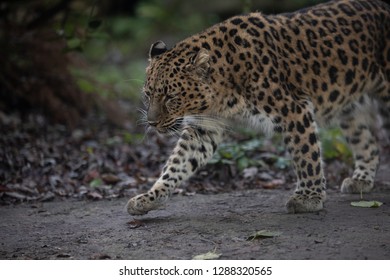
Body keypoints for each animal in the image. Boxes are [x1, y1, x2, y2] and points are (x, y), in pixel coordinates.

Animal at [126, 0, 388, 215]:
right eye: (148, 95)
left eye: (171, 97)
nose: (151, 123)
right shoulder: (204, 128)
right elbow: (177, 165)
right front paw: (150, 198)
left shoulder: (295, 109)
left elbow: (306, 154)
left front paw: (309, 198)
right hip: (350, 109)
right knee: (369, 145)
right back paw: (361, 180)